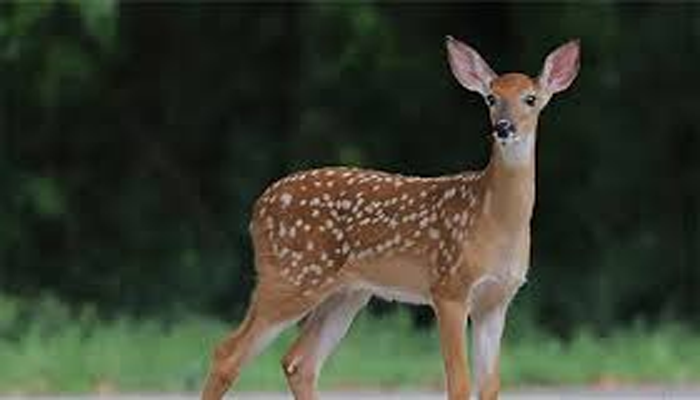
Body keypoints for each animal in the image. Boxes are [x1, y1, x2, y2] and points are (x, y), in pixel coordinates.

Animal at [201, 36, 580, 400]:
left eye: (531, 98)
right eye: (490, 98)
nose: (504, 127)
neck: (494, 221)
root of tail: (258, 207)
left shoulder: (496, 300)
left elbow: (489, 387)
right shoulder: (448, 287)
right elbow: (458, 385)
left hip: (346, 293)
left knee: (299, 361)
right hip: (290, 277)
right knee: (227, 353)